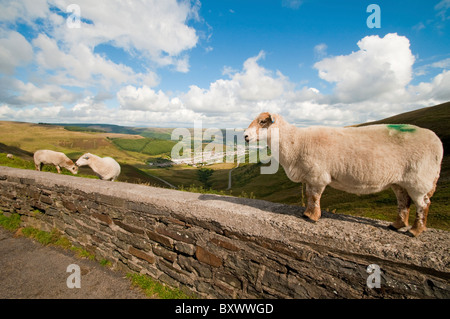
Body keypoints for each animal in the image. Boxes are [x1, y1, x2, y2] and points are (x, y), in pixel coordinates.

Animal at [243, 113, 442, 238]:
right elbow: (308, 195)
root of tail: (437, 141)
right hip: (400, 181)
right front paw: (307, 212)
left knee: (423, 205)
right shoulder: (309, 176)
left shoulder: (317, 175)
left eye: (262, 122)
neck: (295, 141)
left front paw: (312, 217)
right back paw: (397, 225)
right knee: (403, 202)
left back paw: (415, 231)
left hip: (420, 180)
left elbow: (314, 196)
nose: (244, 136)